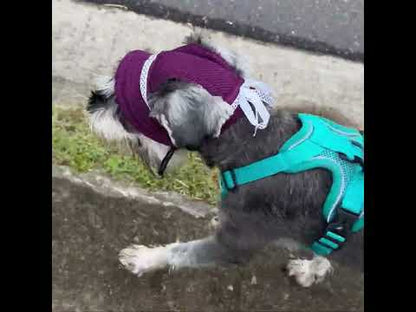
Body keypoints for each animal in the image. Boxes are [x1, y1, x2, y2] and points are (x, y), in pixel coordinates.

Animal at [87, 34, 360, 288]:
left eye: (124, 111)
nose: (91, 104)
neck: (252, 143)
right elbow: (325, 247)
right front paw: (312, 269)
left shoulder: (232, 244)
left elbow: (180, 251)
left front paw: (144, 258)